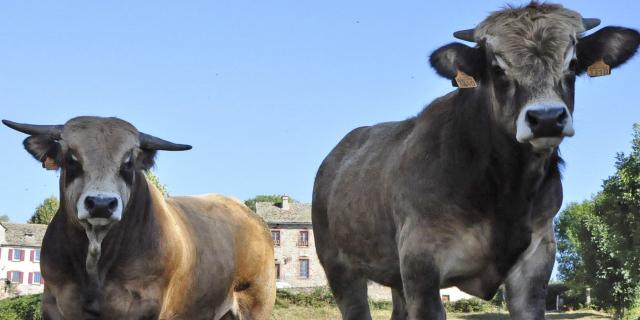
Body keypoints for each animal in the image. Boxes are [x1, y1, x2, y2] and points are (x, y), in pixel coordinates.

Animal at [3, 117, 276, 320]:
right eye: (71, 157)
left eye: (128, 161)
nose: (101, 204)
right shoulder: (54, 302)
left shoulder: (144, 306)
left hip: (256, 304)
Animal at [312, 3, 636, 320]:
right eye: (497, 67)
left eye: (572, 63)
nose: (546, 118)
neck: (506, 195)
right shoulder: (420, 264)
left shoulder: (537, 260)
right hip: (339, 266)